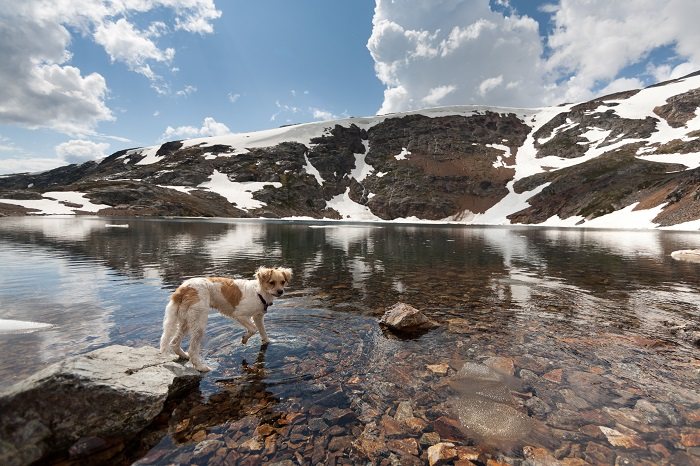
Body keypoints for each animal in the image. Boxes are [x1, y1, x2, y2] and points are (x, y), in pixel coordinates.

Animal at [160, 266, 292, 372]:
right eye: (271, 282)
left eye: (283, 282)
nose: (280, 291)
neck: (259, 292)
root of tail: (183, 288)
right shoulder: (240, 315)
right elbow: (253, 330)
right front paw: (244, 339)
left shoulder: (258, 317)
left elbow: (264, 334)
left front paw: (268, 342)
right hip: (199, 322)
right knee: (192, 350)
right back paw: (201, 367)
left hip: (186, 321)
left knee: (174, 343)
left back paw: (184, 355)